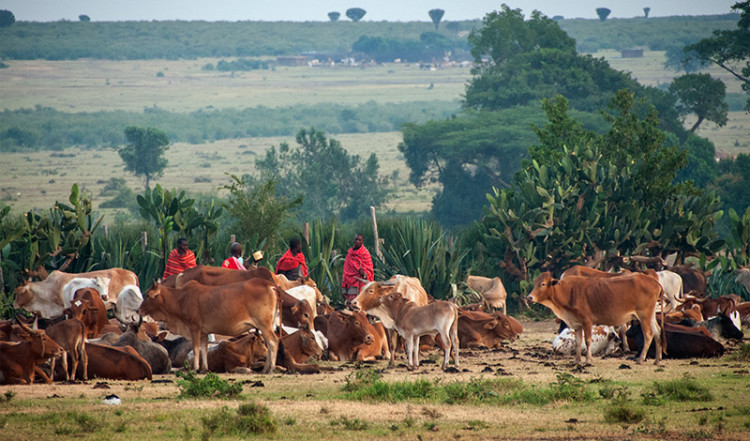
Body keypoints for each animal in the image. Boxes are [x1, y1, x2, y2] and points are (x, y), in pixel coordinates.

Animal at [140, 278, 280, 372]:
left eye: (148, 295)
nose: (139, 310)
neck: (180, 299)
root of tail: (269, 284)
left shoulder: (194, 328)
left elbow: (196, 349)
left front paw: (195, 368)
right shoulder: (204, 332)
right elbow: (204, 349)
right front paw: (204, 369)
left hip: (264, 325)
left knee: (273, 341)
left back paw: (269, 369)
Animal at [528, 272, 664, 364]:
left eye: (543, 284)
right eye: (534, 283)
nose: (529, 297)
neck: (568, 292)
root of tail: (654, 282)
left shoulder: (587, 321)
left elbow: (587, 340)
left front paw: (588, 359)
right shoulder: (577, 324)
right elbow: (578, 341)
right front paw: (577, 360)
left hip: (644, 315)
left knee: (648, 334)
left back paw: (641, 359)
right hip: (651, 315)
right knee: (657, 331)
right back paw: (657, 360)